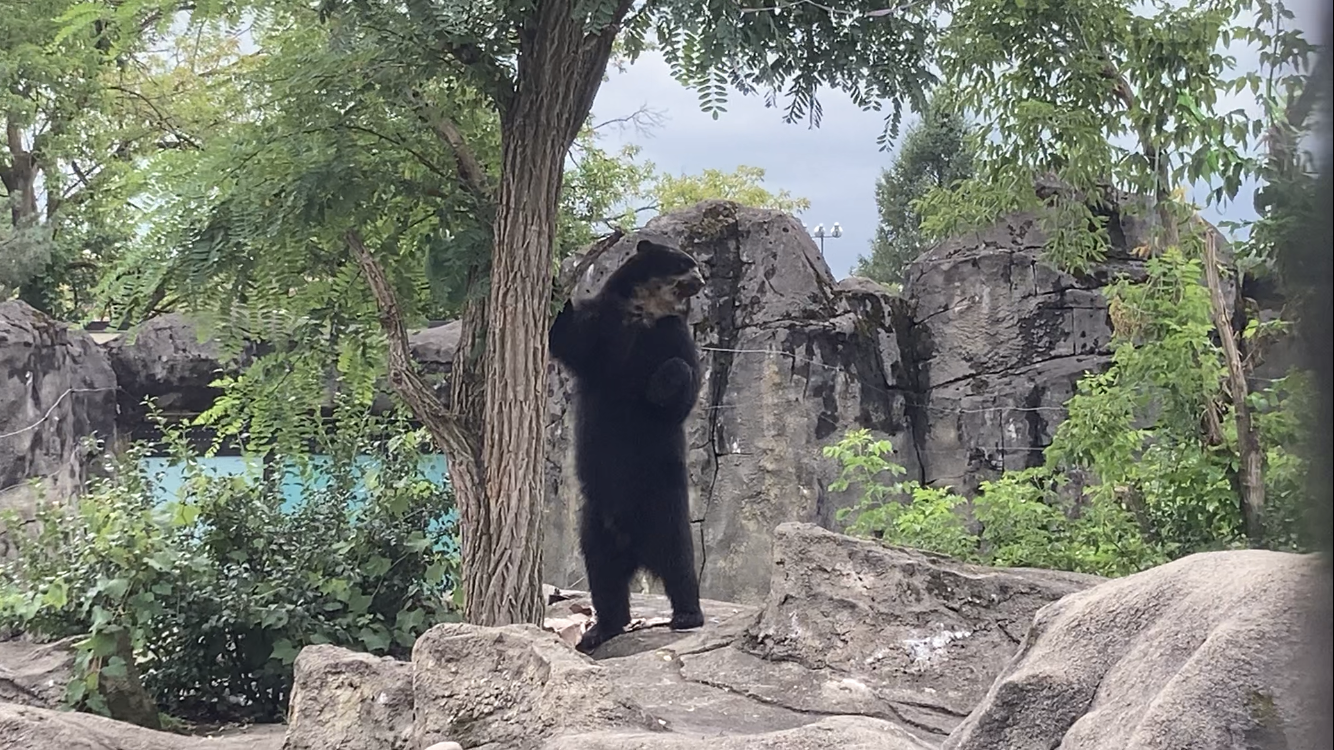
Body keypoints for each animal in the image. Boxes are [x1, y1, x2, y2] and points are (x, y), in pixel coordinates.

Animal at [548, 237, 708, 654]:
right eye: (685, 261)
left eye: (695, 263)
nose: (701, 280)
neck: (644, 312)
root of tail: (634, 547)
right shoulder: (603, 327)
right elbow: (568, 335)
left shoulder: (672, 335)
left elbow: (684, 377)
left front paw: (663, 381)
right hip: (593, 524)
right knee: (603, 576)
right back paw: (600, 629)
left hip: (665, 507)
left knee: (680, 561)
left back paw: (687, 614)